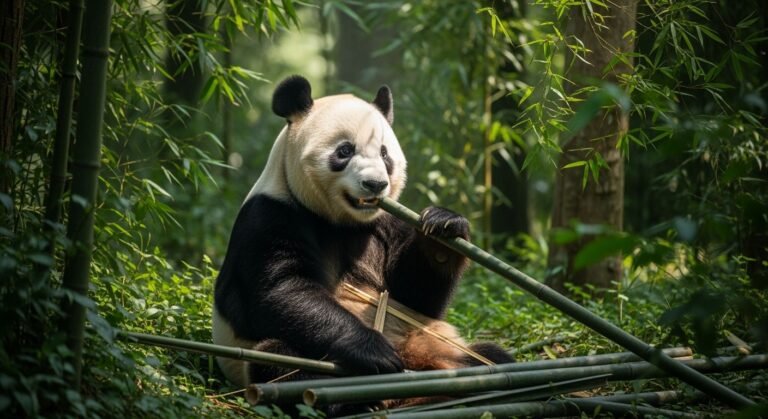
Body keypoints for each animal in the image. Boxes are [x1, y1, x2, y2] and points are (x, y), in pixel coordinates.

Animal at [212, 75, 512, 409]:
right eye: (344, 151)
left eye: (384, 154)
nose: (375, 184)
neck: (341, 221)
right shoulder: (270, 216)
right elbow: (281, 289)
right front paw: (373, 351)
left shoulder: (386, 223)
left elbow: (415, 296)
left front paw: (444, 228)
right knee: (280, 362)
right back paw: (357, 398)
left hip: (435, 345)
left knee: (491, 357)